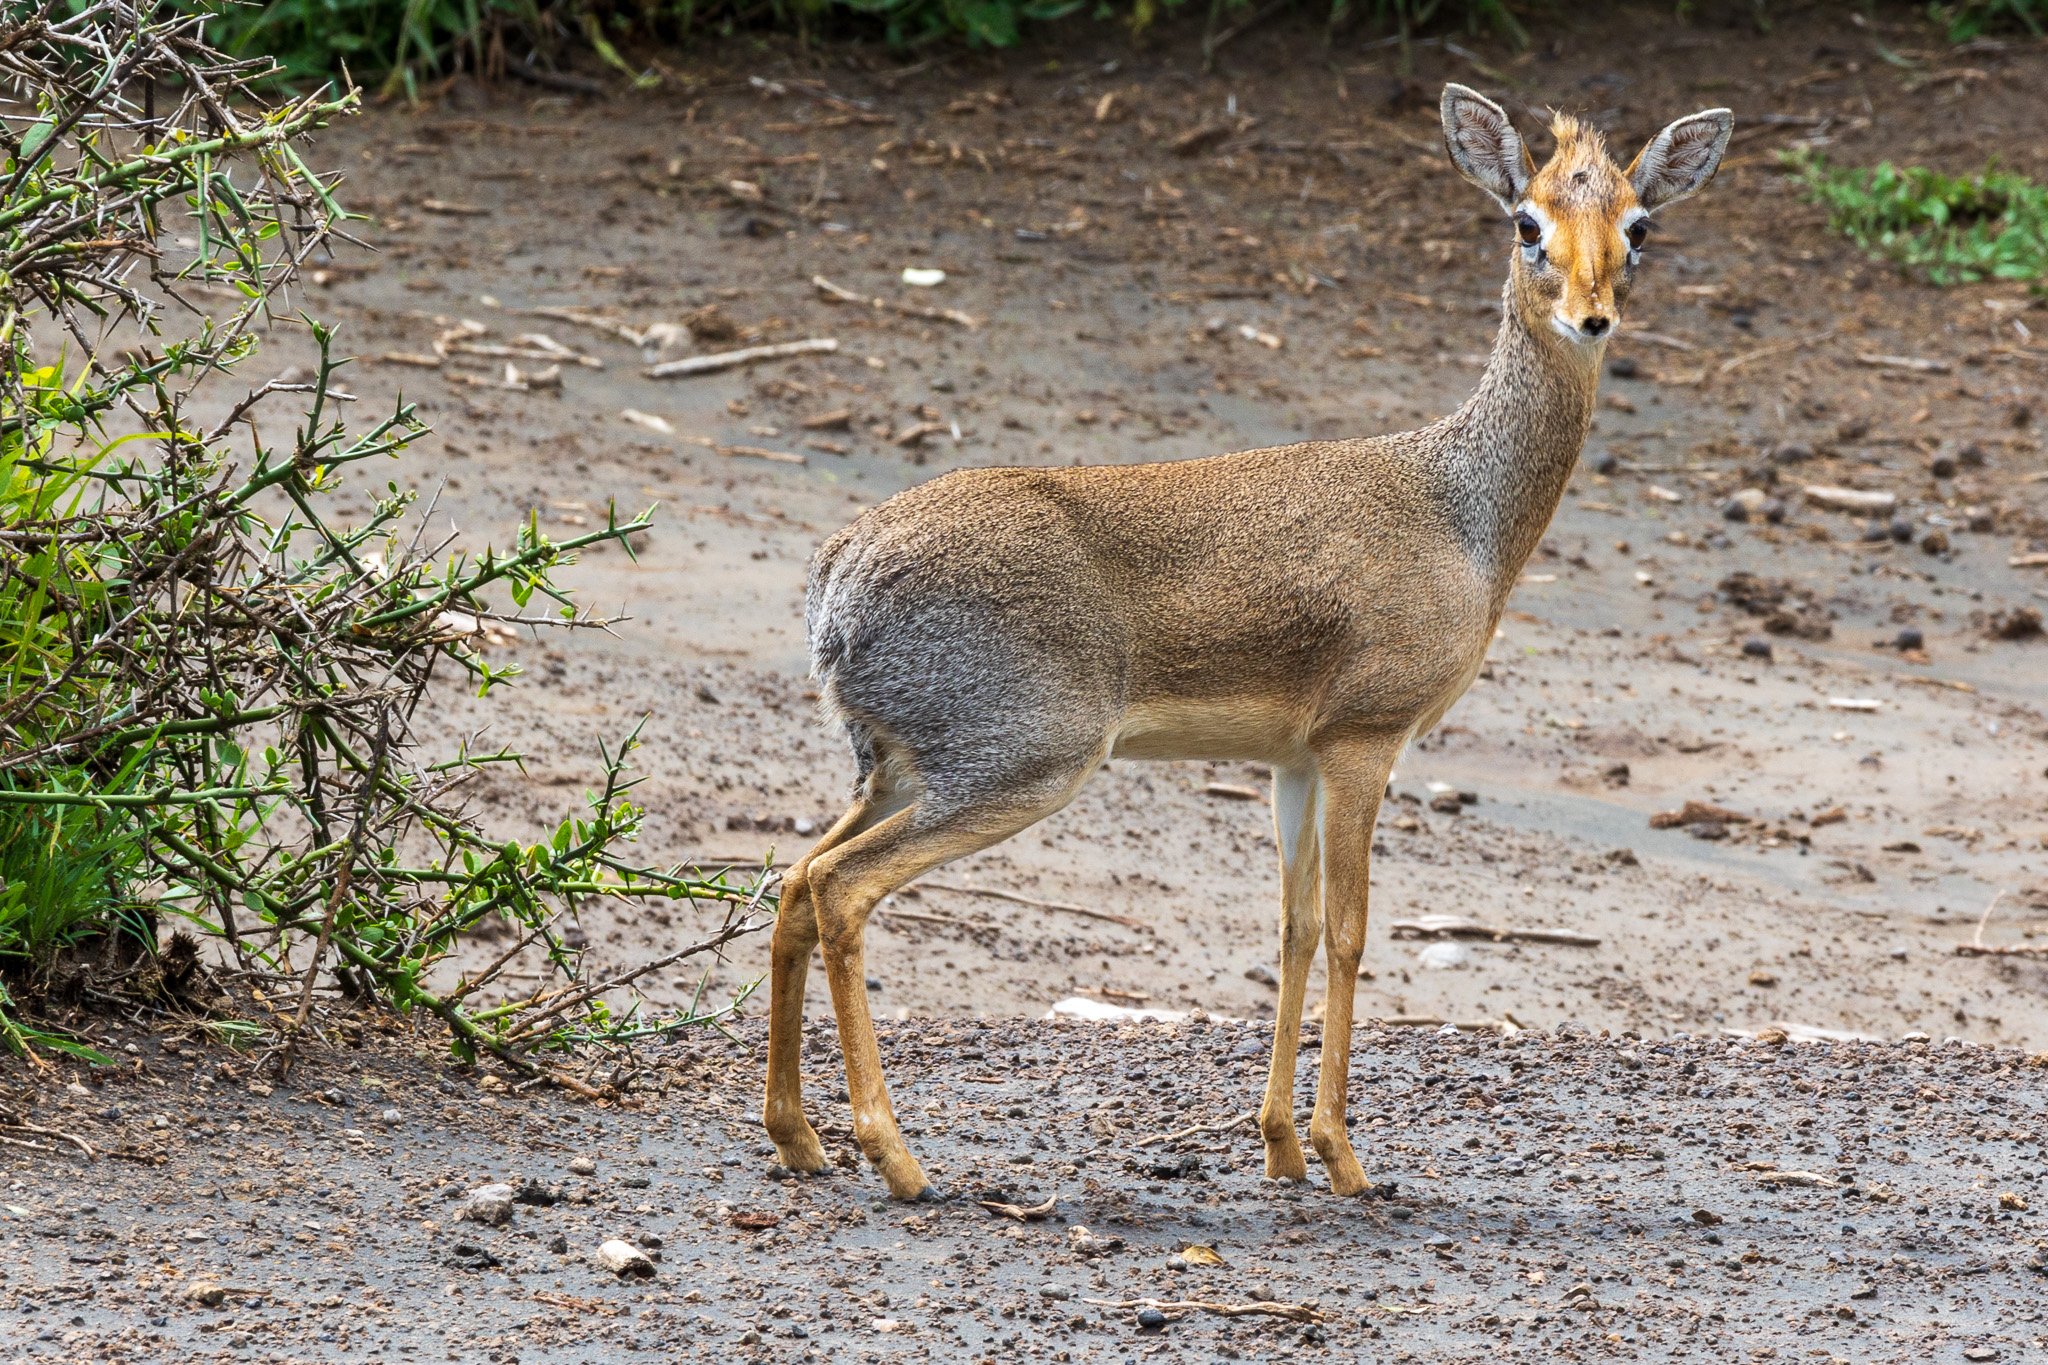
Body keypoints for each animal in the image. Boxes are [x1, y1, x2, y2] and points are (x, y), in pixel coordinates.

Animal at [765, 85, 1728, 1203]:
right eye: (1526, 221)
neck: (1463, 514)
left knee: (793, 879)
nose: (1592, 314)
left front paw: (1278, 1147)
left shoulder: (1292, 759)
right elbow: (1352, 932)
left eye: (1638, 225)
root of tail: (834, 579)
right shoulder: (1366, 739)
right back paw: (898, 1156)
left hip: (900, 766)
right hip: (1021, 763)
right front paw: (1344, 1156)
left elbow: (1293, 928)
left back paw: (797, 1135)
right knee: (842, 888)